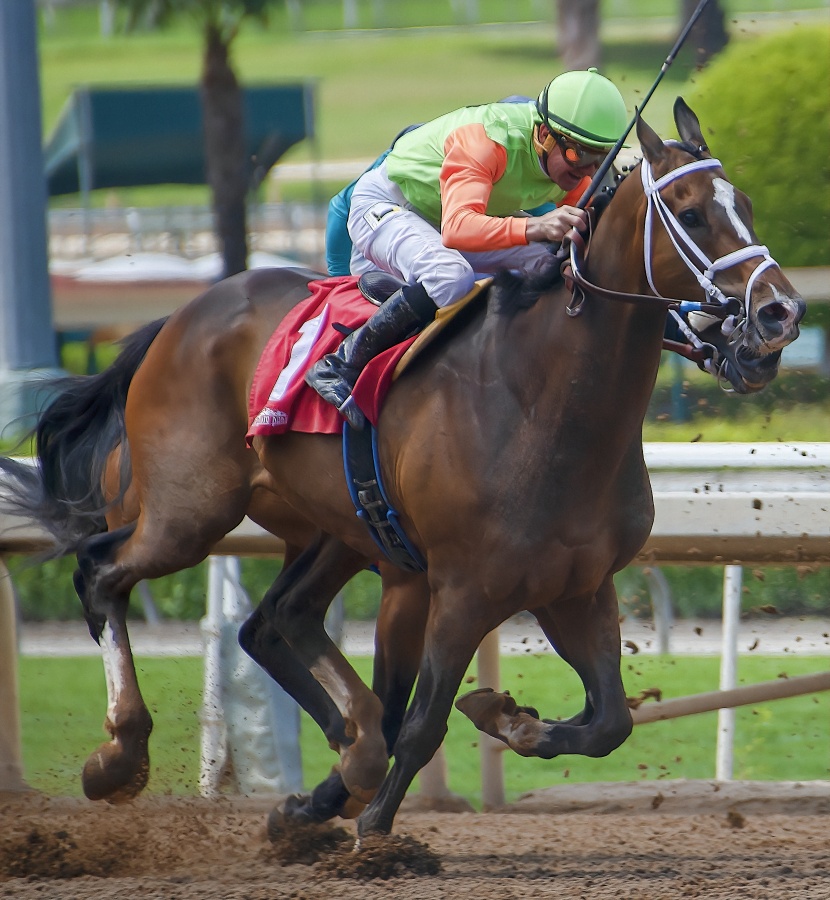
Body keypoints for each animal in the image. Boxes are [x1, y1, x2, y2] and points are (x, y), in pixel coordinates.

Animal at [0, 100, 808, 844]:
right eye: (692, 212)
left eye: (747, 205)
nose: (780, 313)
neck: (541, 406)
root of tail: (179, 316)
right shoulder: (462, 586)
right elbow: (422, 722)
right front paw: (375, 832)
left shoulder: (576, 586)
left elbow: (608, 720)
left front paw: (505, 720)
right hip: (189, 512)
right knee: (102, 571)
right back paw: (121, 756)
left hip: (334, 530)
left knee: (274, 621)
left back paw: (334, 768)